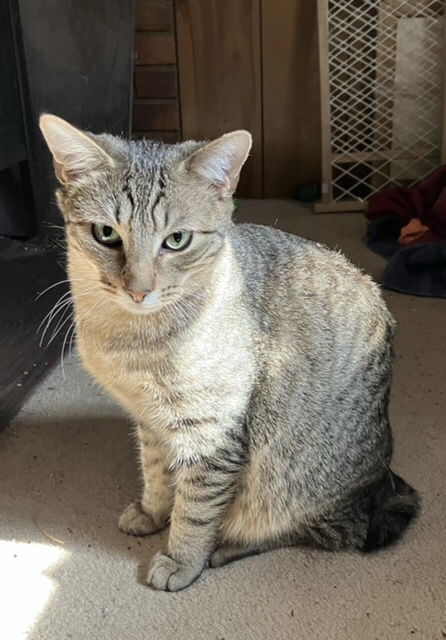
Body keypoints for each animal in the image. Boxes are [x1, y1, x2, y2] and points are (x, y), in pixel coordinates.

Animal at [40, 114, 420, 592]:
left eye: (177, 240)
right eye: (106, 234)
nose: (139, 290)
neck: (134, 339)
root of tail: (381, 483)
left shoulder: (211, 432)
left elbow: (196, 509)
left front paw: (182, 558)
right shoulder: (152, 422)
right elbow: (157, 475)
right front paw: (153, 511)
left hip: (291, 480)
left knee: (313, 529)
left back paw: (226, 546)